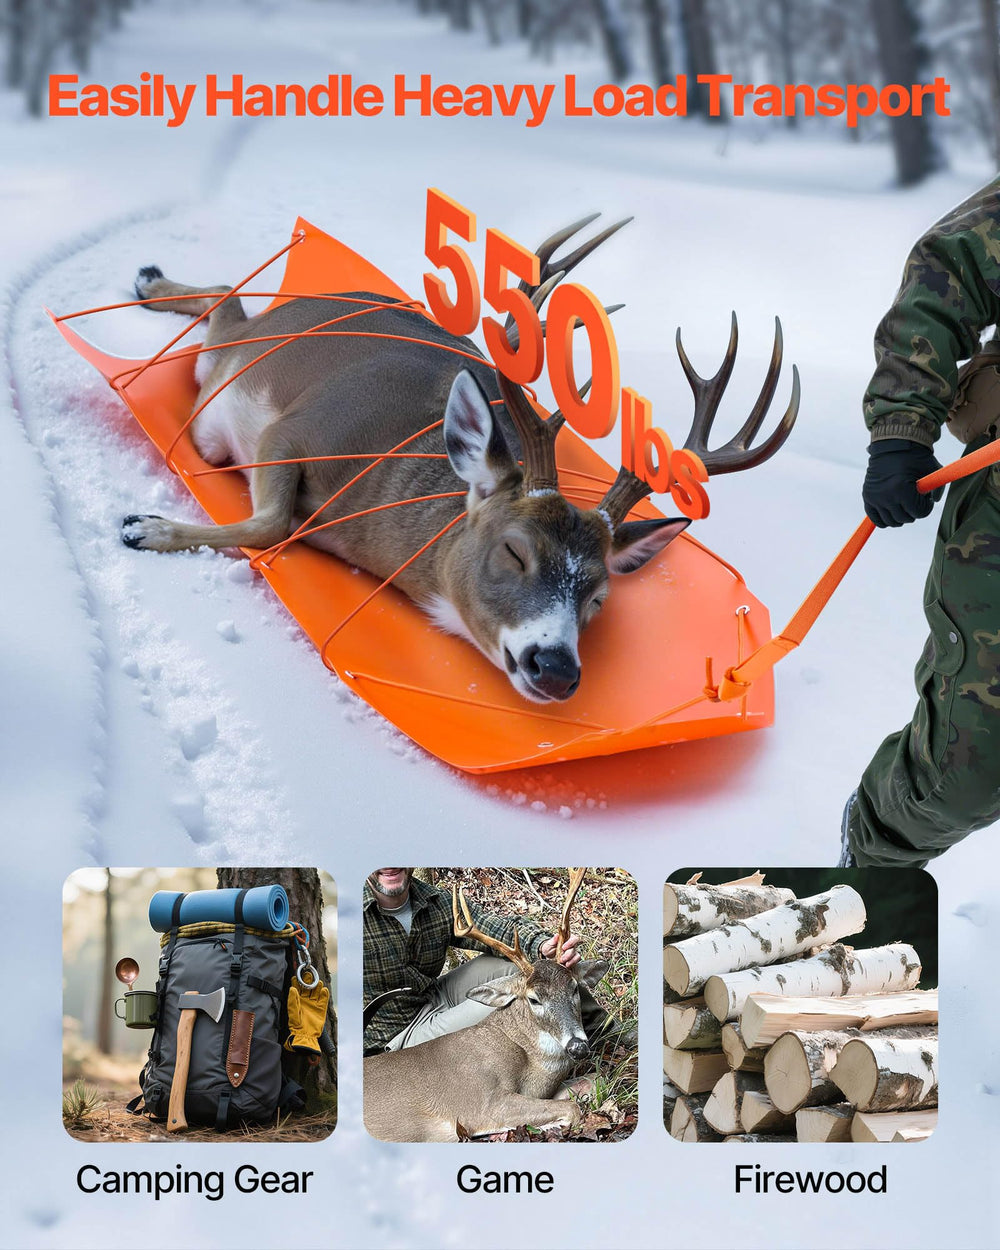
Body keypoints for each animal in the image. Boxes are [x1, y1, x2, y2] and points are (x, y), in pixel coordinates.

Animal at [122, 216, 799, 702]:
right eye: (515, 551)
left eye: (599, 597)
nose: (555, 668)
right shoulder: (295, 429)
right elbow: (270, 524)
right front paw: (145, 529)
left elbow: (270, 524)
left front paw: (150, 528)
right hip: (234, 372)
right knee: (226, 302)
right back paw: (150, 280)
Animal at [363, 868, 611, 1142]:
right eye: (534, 999)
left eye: (574, 988)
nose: (578, 1046)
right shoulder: (481, 1102)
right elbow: (572, 1108)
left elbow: (597, 1079)